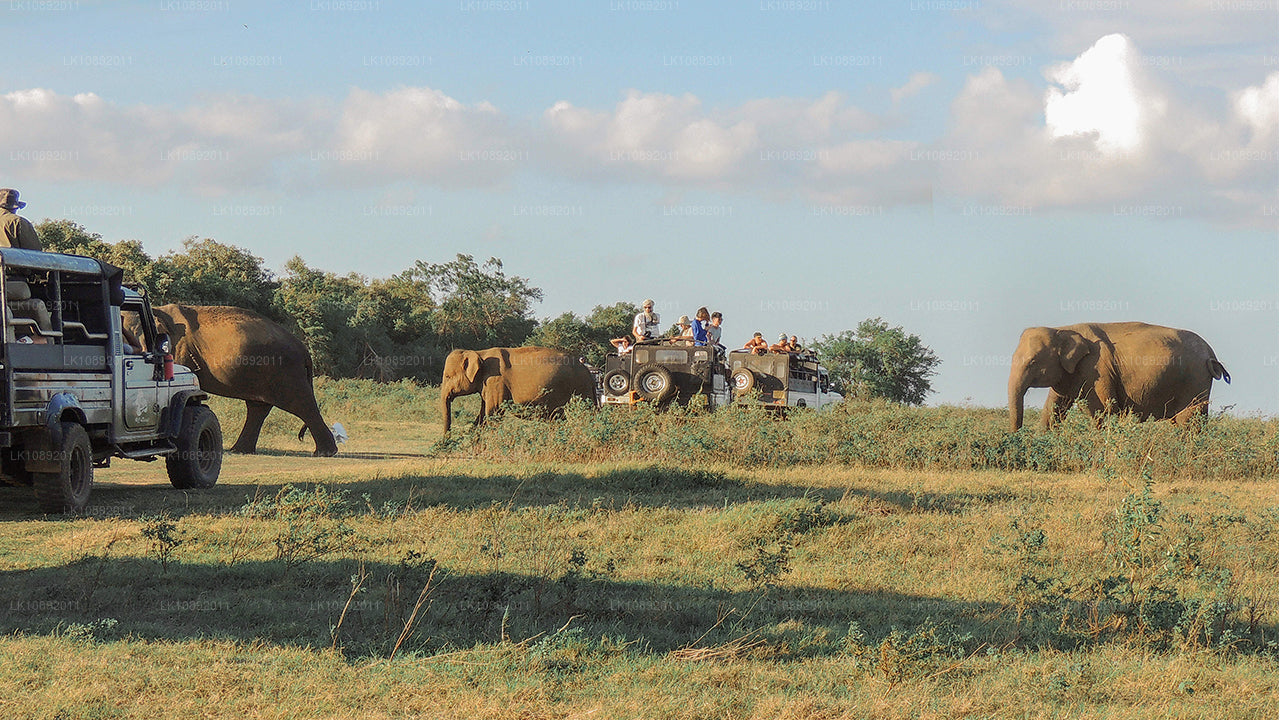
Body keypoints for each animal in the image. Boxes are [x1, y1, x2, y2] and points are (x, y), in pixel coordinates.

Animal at [142, 302, 340, 453]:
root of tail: (304, 351)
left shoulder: (179, 351)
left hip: (286, 370)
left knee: (301, 403)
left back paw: (324, 453)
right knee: (258, 408)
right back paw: (239, 450)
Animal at [440, 345, 599, 430]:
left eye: (447, 376)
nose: (445, 444)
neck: (480, 352)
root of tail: (588, 373)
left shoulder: (496, 382)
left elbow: (493, 413)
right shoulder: (488, 385)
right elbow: (482, 416)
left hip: (579, 389)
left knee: (584, 416)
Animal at [1008, 320, 1228, 430]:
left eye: (1033, 362)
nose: (1018, 435)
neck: (1061, 329)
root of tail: (1211, 353)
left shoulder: (1096, 369)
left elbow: (1103, 410)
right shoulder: (1068, 374)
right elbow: (1054, 409)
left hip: (1195, 380)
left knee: (1188, 422)